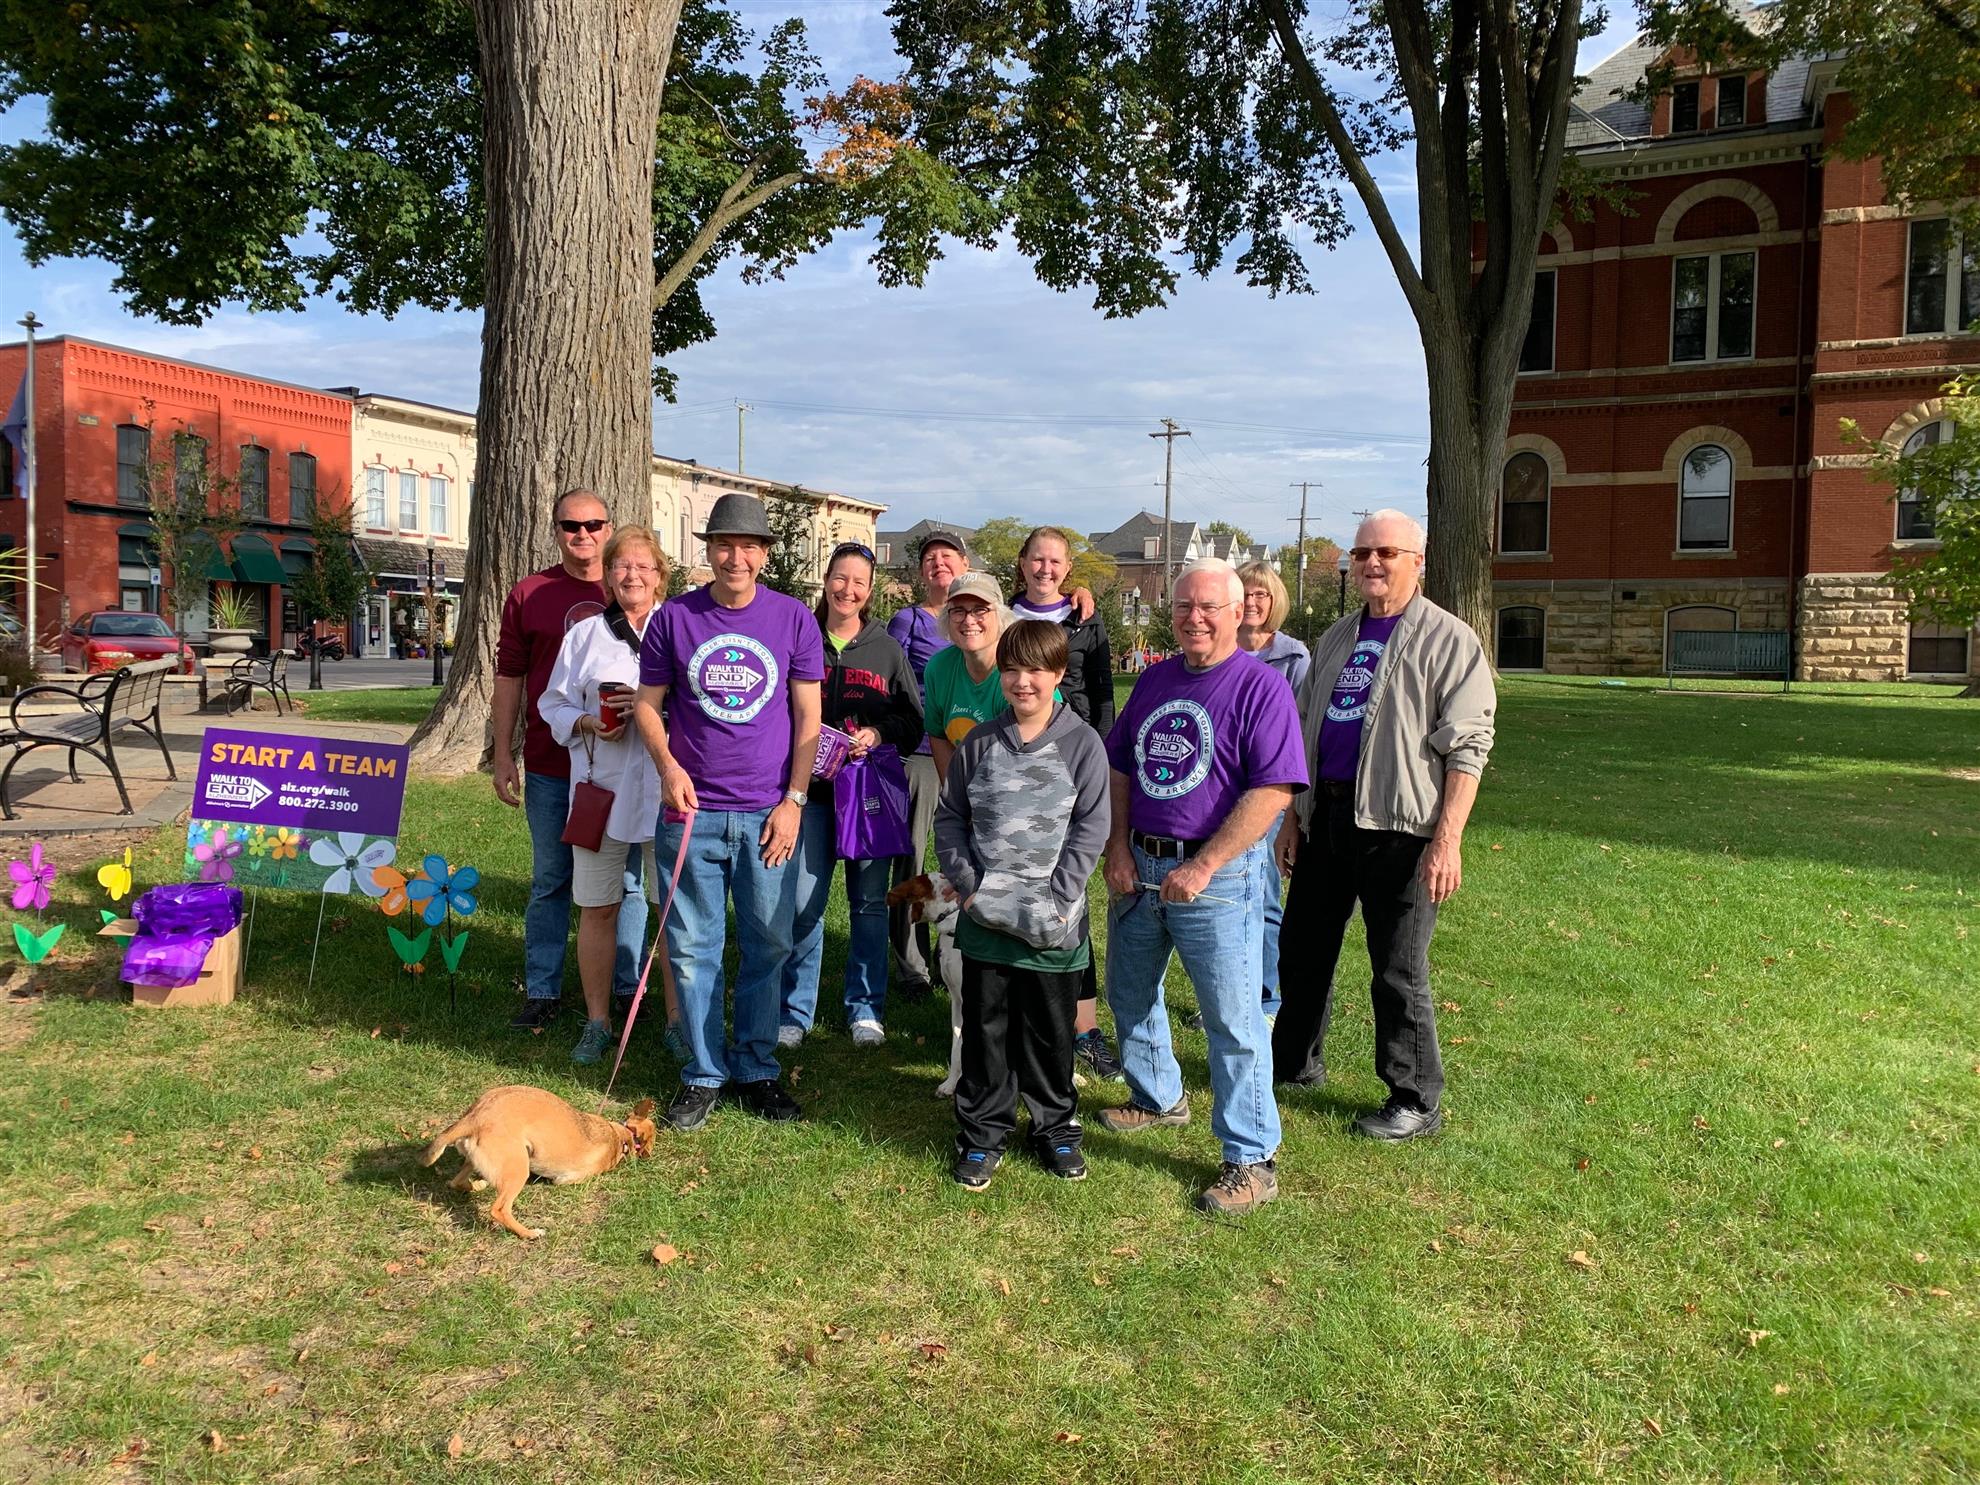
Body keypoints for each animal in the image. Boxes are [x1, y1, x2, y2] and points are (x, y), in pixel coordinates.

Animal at [419, 1086, 656, 1241]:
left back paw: (476, 1185)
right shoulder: (567, 1180)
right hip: (518, 1170)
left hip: (481, 1159)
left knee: (457, 1182)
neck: (620, 1137)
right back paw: (529, 1233)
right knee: (499, 1209)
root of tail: (474, 1117)